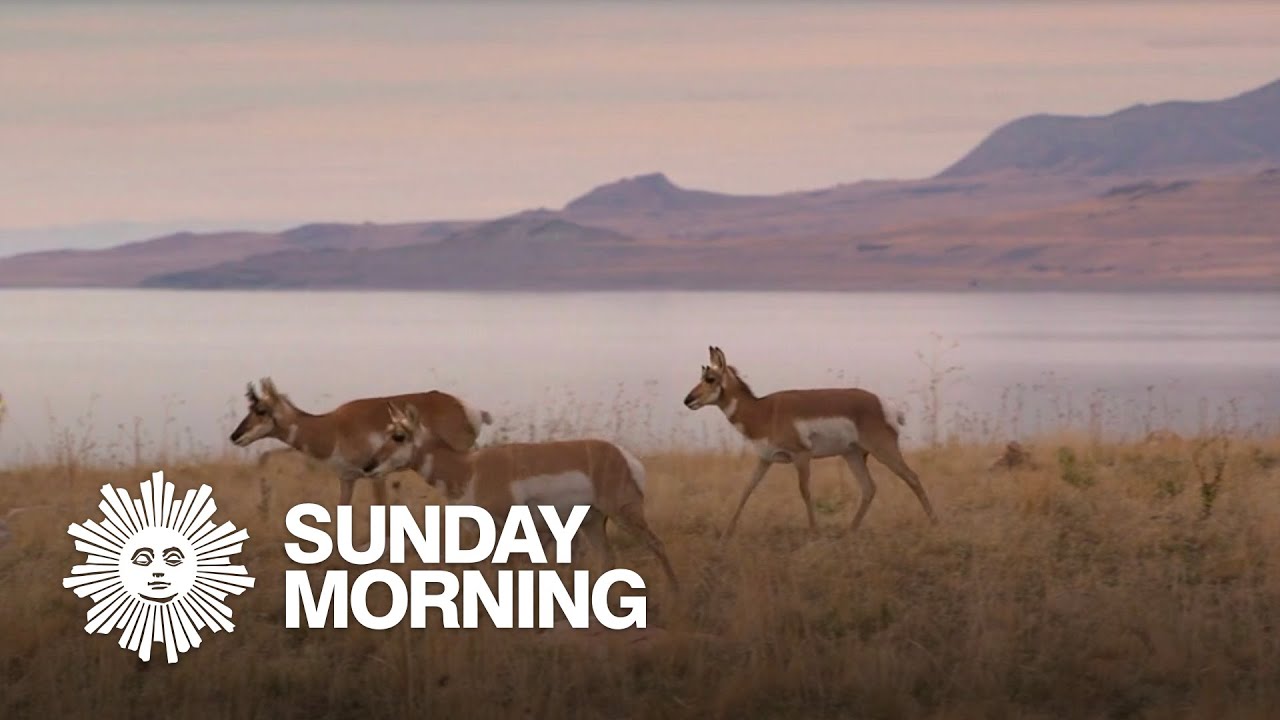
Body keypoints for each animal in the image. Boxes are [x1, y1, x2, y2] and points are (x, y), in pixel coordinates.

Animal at [229, 377, 492, 507]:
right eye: (250, 408)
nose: (235, 436)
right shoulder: (347, 479)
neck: (332, 427)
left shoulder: (376, 476)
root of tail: (468, 408)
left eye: (261, 410)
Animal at [362, 402, 679, 589]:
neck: (468, 468)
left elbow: (509, 569)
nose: (368, 466)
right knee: (607, 558)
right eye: (387, 432)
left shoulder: (508, 529)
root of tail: (624, 455)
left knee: (657, 545)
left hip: (624, 512)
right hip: (592, 521)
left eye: (399, 436)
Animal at [683, 346, 937, 537]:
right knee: (869, 488)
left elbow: (804, 491)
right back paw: (850, 531)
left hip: (883, 450)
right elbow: (747, 489)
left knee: (912, 478)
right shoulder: (765, 459)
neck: (764, 411)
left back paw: (934, 523)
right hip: (853, 454)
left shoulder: (801, 456)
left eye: (710, 378)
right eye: (701, 376)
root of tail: (885, 404)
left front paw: (814, 532)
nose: (687, 400)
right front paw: (727, 532)